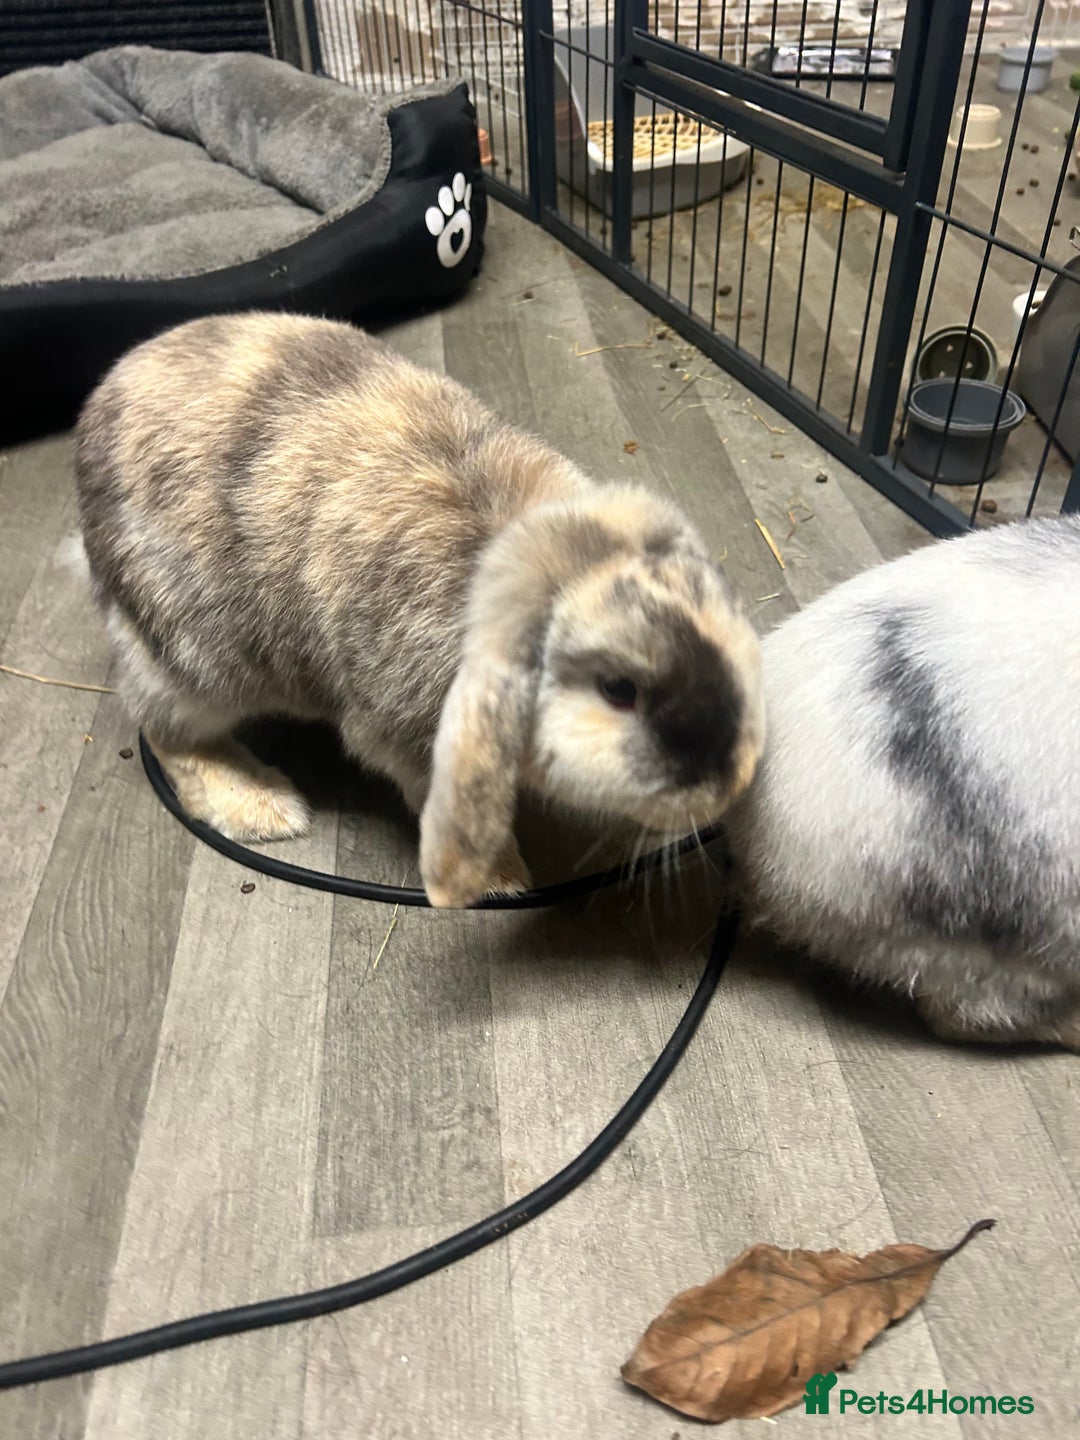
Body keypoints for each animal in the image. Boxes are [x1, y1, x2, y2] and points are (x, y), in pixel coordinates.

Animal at [74, 311, 765, 908]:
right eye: (619, 690)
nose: (733, 783)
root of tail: (97, 405)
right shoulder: (406, 732)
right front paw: (500, 881)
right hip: (198, 662)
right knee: (167, 733)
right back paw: (266, 808)